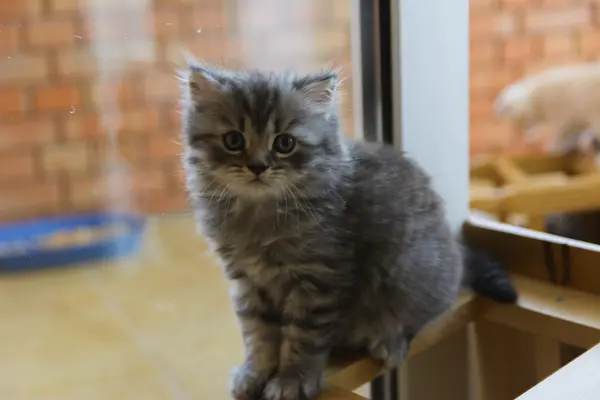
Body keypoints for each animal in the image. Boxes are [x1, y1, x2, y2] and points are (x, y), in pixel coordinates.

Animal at [179, 60, 516, 400]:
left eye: (285, 143)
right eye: (233, 140)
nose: (258, 167)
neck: (258, 216)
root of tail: (457, 250)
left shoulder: (318, 278)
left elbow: (302, 338)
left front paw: (291, 379)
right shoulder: (248, 281)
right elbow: (257, 334)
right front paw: (255, 373)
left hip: (411, 270)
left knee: (423, 315)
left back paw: (389, 340)